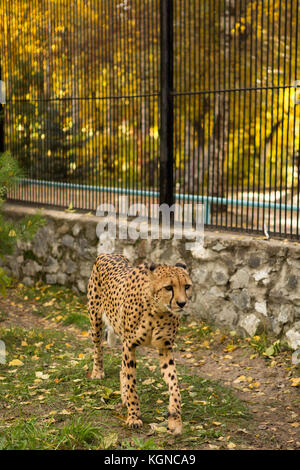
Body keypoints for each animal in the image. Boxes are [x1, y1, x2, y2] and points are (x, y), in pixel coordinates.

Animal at [88, 253, 193, 434]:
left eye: (186, 286)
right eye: (168, 287)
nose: (182, 303)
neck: (158, 310)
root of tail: (106, 254)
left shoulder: (165, 348)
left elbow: (174, 385)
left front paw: (175, 419)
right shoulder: (129, 345)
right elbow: (131, 383)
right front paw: (134, 417)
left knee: (121, 368)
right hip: (96, 320)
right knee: (98, 348)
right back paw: (98, 372)